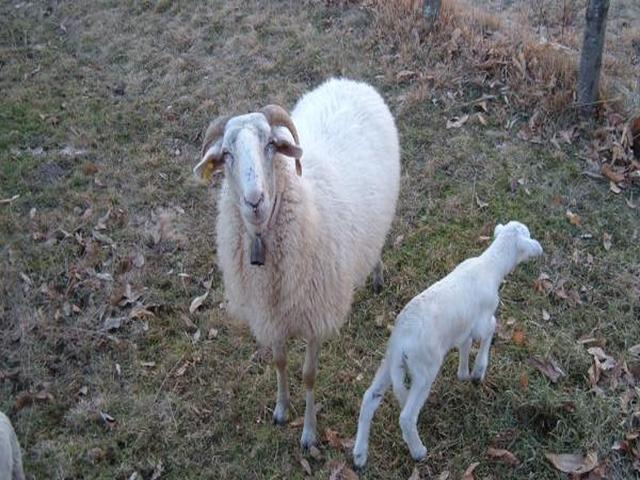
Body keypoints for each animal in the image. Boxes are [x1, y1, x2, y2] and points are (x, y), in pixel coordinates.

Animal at [193, 78, 400, 448]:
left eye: (271, 145)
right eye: (227, 155)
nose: (255, 200)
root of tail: (349, 81)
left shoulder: (316, 316)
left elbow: (308, 376)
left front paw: (308, 432)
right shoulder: (270, 312)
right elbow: (279, 361)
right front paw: (280, 409)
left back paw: (376, 277)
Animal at [352, 221, 543, 467]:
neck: (490, 265)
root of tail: (401, 339)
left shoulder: (464, 327)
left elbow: (465, 344)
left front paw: (463, 373)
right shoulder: (482, 320)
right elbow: (491, 329)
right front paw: (478, 371)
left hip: (389, 363)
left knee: (369, 397)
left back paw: (359, 454)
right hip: (424, 369)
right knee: (406, 417)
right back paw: (418, 451)